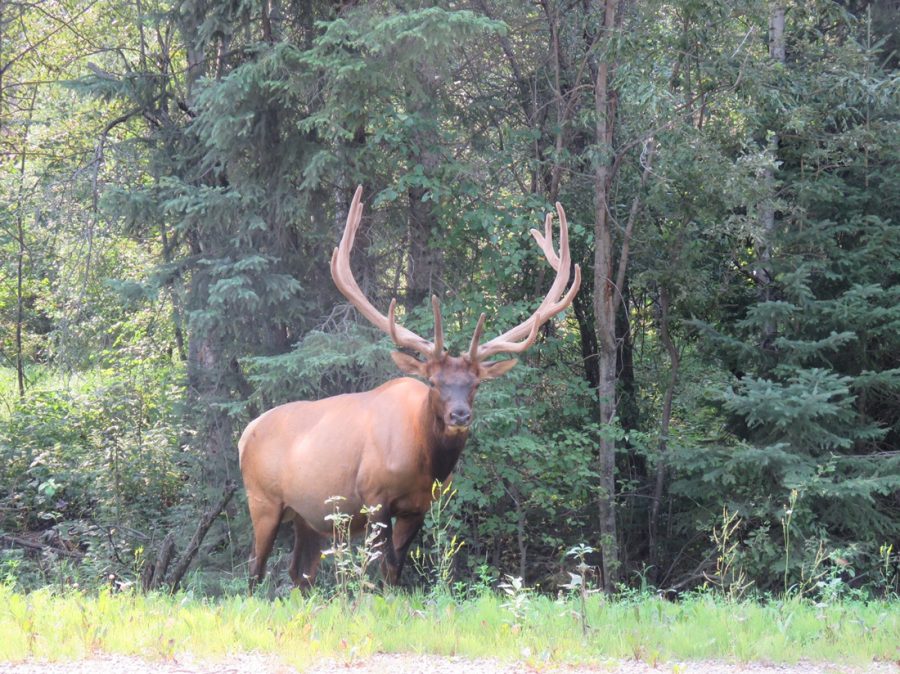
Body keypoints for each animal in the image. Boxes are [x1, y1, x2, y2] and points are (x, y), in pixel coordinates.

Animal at [236, 186, 580, 584]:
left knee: (300, 572)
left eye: (476, 383)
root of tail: (245, 433)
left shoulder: (419, 507)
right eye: (433, 381)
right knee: (254, 568)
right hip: (262, 500)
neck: (423, 460)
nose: (459, 415)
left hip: (309, 515)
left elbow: (394, 570)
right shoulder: (375, 497)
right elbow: (379, 565)